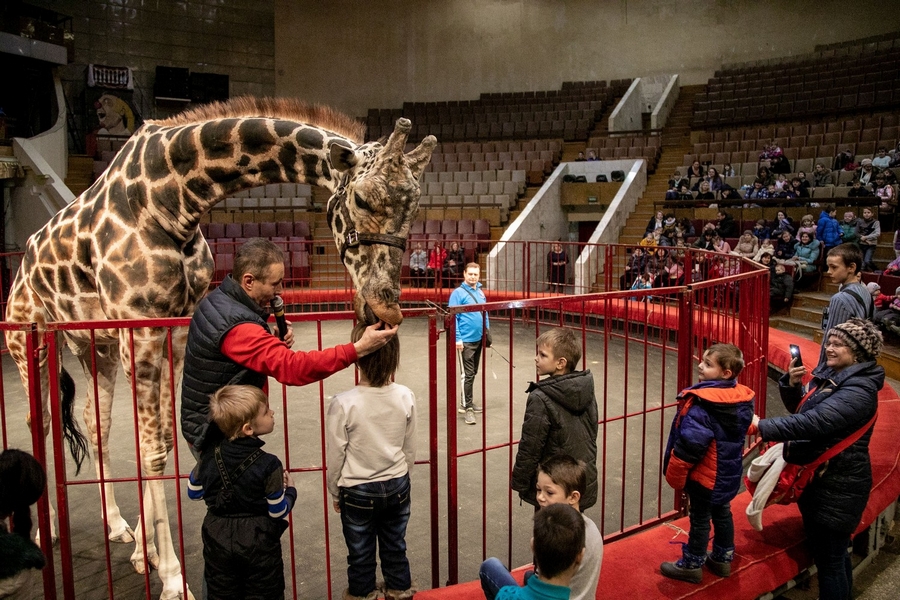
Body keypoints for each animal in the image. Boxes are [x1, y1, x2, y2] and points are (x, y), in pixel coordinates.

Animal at [4, 97, 435, 600]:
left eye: (415, 208)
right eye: (362, 199)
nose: (385, 308)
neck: (172, 200)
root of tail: (23, 259)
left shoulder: (172, 333)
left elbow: (159, 439)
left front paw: (145, 553)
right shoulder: (141, 330)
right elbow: (152, 449)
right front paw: (173, 578)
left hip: (94, 346)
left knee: (96, 424)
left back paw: (116, 526)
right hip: (28, 341)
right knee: (40, 422)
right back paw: (46, 530)